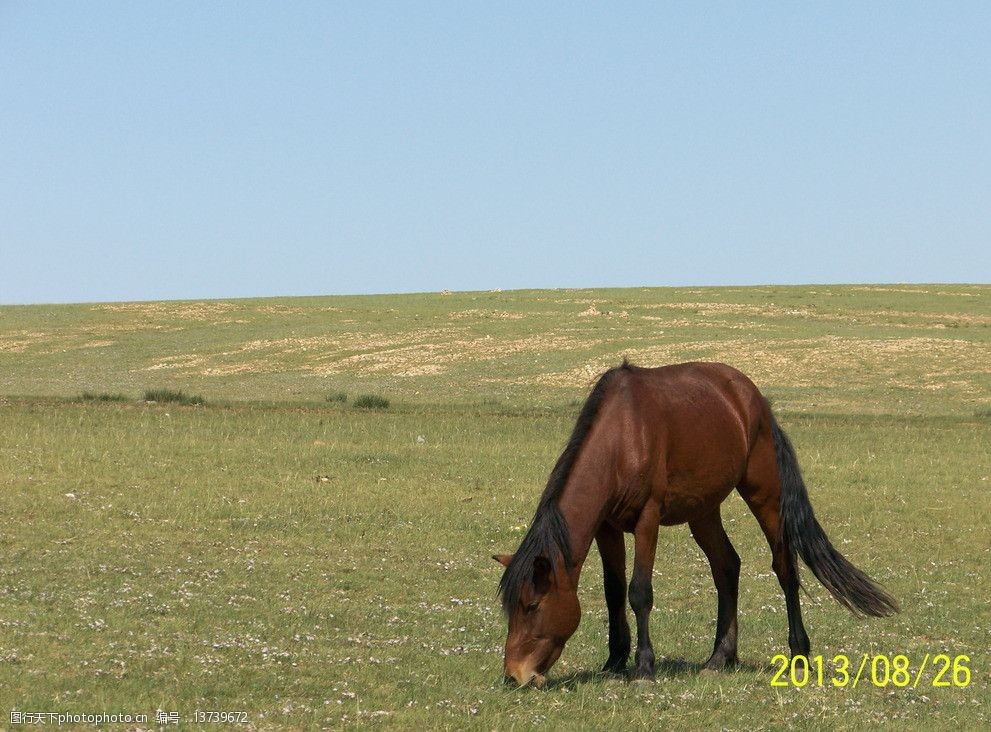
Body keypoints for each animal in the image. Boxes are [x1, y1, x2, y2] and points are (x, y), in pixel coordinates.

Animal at [496, 360, 900, 688]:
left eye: (532, 606)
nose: (514, 674)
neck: (623, 437)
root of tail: (754, 398)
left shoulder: (647, 520)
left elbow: (639, 592)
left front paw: (643, 667)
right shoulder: (607, 527)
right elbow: (613, 592)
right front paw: (614, 661)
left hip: (765, 495)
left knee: (785, 568)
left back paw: (798, 655)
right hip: (703, 511)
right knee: (727, 567)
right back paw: (721, 657)